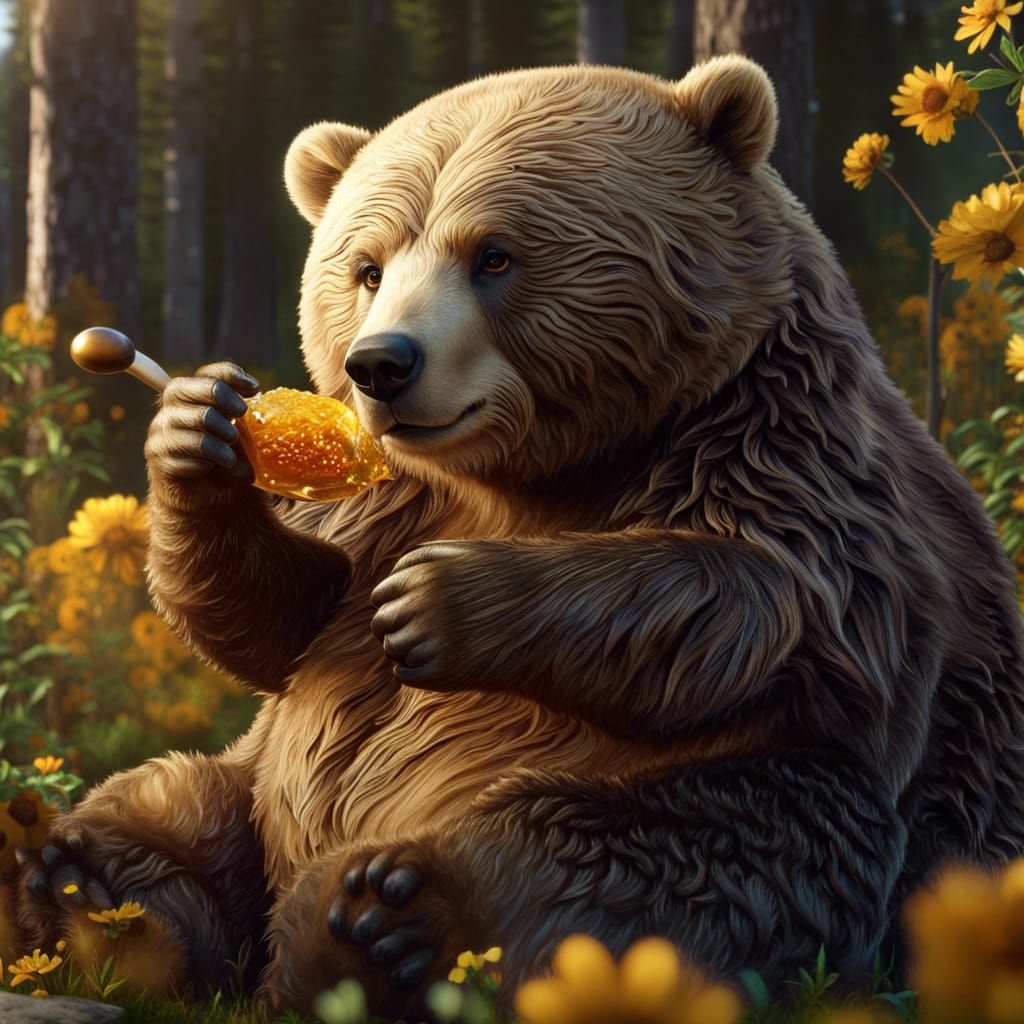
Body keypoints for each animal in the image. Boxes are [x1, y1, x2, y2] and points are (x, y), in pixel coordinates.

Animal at [14, 56, 1024, 1018]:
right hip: (253, 789)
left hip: (830, 798)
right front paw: (195, 433)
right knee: (172, 804)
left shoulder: (785, 447)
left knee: (668, 859)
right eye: (368, 265)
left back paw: (391, 920)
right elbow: (287, 619)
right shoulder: (389, 499)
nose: (380, 364)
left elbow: (762, 597)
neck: (522, 474)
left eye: (494, 255)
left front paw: (438, 602)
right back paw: (99, 896)